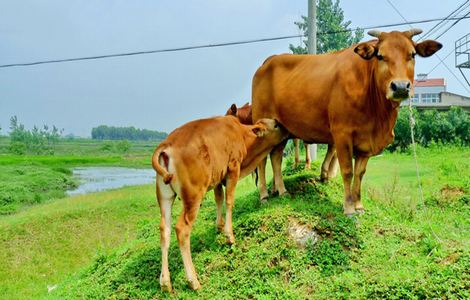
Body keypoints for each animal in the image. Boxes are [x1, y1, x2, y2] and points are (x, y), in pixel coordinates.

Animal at [152, 115, 288, 290]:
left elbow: (219, 198)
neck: (243, 134)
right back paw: (193, 281)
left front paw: (219, 226)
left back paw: (165, 283)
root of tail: (167, 144)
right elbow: (229, 200)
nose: (288, 131)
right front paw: (229, 235)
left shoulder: (218, 176)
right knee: (182, 229)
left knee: (165, 230)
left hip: (165, 197)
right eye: (276, 125)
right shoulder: (233, 168)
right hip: (193, 197)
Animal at [253, 28, 440, 216]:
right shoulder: (342, 135)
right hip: (262, 124)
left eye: (412, 55)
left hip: (281, 130)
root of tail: (267, 63)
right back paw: (264, 195)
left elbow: (360, 173)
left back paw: (281, 191)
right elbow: (348, 171)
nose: (400, 87)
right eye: (380, 56)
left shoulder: (366, 143)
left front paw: (359, 205)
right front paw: (349, 208)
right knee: (262, 161)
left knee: (276, 157)